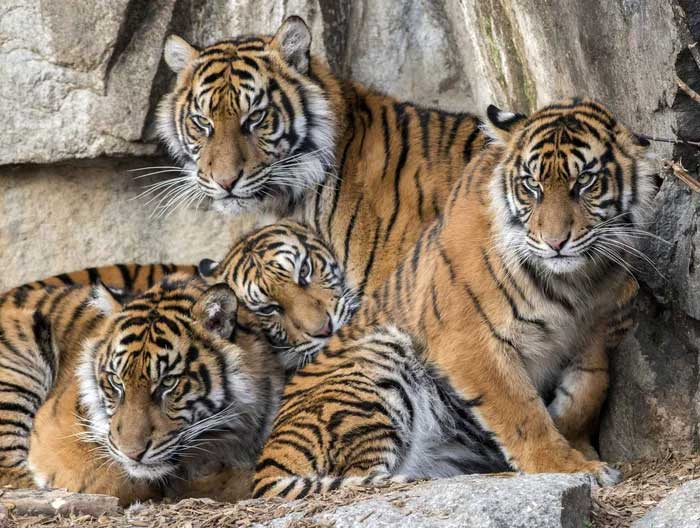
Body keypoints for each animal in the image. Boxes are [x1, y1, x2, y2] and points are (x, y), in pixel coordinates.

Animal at [252, 98, 657, 499]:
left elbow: (588, 391)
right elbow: (521, 411)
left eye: (585, 181)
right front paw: (565, 465)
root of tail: (264, 465)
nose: (555, 242)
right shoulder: (469, 340)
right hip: (381, 355)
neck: (576, 282)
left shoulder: (592, 332)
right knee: (364, 479)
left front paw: (580, 445)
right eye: (531, 185)